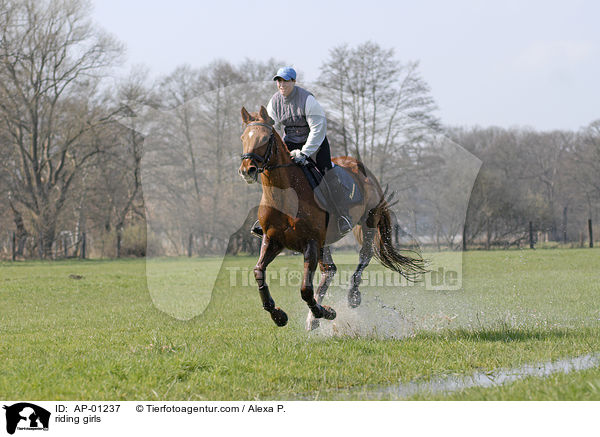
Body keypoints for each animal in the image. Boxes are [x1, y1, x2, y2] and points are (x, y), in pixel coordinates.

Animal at [237, 106, 424, 330]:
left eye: (265, 138)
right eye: (243, 138)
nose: (247, 170)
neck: (284, 195)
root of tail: (363, 168)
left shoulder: (310, 242)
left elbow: (305, 289)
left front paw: (324, 311)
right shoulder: (272, 240)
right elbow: (258, 271)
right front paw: (278, 315)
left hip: (367, 223)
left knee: (364, 255)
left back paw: (352, 297)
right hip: (325, 241)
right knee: (330, 270)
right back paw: (314, 318)